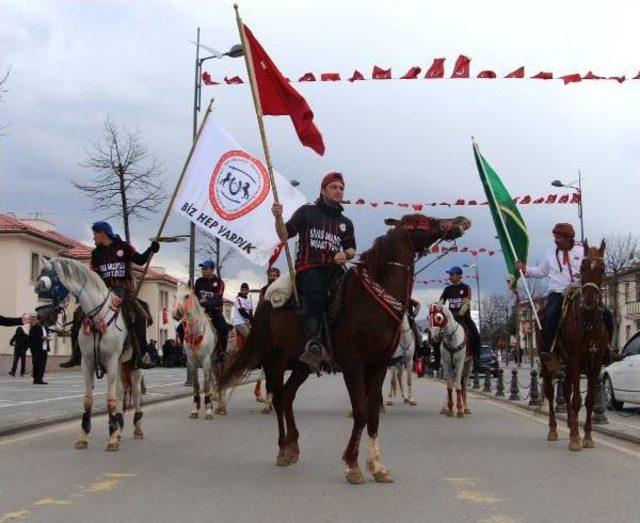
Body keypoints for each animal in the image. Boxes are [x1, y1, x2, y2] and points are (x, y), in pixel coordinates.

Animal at [37, 258, 144, 450]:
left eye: (53, 283)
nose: (41, 317)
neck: (98, 318)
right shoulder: (87, 363)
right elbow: (88, 399)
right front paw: (84, 436)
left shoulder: (111, 361)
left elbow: (110, 399)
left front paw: (111, 439)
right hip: (119, 365)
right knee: (121, 391)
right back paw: (118, 428)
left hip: (134, 367)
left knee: (137, 394)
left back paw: (137, 429)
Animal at [172, 284, 228, 420]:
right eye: (175, 295)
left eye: (187, 296)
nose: (176, 313)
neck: (195, 332)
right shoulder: (192, 363)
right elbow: (196, 385)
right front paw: (195, 410)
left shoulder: (206, 362)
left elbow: (206, 386)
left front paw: (208, 410)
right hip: (214, 364)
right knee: (218, 381)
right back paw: (219, 407)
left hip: (221, 362)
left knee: (222, 382)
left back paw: (222, 408)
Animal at [216, 215, 470, 486]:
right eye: (423, 222)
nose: (460, 221)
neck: (372, 300)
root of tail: (266, 300)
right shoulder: (353, 363)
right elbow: (360, 410)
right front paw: (352, 465)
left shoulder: (378, 363)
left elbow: (373, 411)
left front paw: (378, 466)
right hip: (274, 360)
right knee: (276, 397)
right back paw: (283, 449)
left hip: (303, 364)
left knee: (287, 396)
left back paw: (293, 447)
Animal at [540, 241, 608, 450]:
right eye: (583, 267)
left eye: (602, 269)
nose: (589, 302)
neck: (589, 322)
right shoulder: (576, 361)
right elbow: (577, 400)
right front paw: (577, 439)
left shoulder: (595, 363)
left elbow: (590, 400)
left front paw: (587, 437)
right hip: (548, 363)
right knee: (551, 392)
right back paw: (554, 430)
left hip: (567, 365)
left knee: (566, 389)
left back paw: (571, 425)